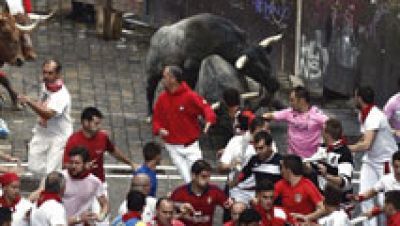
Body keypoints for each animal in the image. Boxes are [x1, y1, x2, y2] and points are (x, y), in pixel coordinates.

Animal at [146, 12, 282, 115]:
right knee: (150, 88)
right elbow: (190, 86)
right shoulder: (192, 65)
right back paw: (150, 114)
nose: (275, 84)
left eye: (268, 62)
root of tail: (155, 37)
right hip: (152, 72)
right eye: (256, 68)